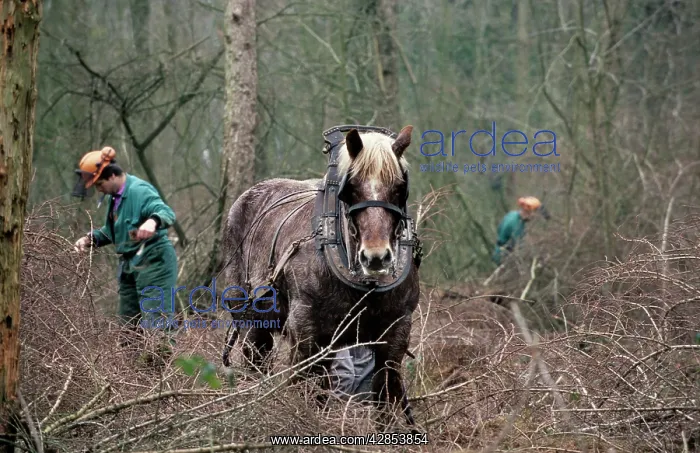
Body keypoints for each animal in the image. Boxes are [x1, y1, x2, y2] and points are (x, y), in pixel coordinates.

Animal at [218, 125, 422, 432]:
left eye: (400, 188)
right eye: (350, 188)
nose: (375, 258)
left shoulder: (395, 334)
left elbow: (385, 398)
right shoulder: (305, 332)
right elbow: (301, 386)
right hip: (252, 320)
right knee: (256, 361)